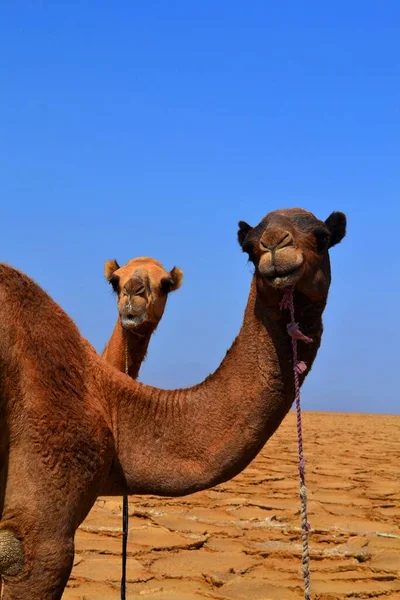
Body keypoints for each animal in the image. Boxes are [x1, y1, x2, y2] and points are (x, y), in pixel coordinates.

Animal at [0, 205, 346, 596]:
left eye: (321, 237)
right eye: (250, 247)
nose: (274, 246)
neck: (107, 400)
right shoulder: (42, 522)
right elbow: (30, 553)